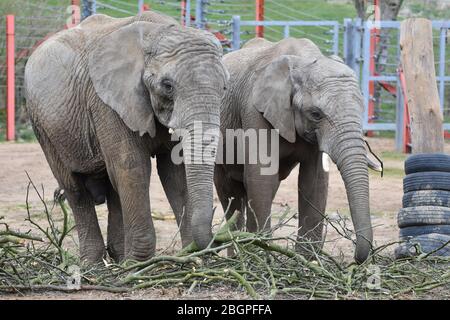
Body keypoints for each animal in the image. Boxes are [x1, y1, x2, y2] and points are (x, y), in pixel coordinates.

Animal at [22, 11, 227, 264]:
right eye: (167, 86)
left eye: (224, 88)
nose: (217, 240)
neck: (157, 32)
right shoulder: (106, 103)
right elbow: (132, 166)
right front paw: (139, 264)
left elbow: (174, 173)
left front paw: (192, 257)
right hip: (43, 125)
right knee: (74, 188)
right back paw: (95, 264)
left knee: (113, 188)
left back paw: (118, 259)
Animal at [214, 37, 380, 262]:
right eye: (316, 114)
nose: (356, 257)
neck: (304, 61)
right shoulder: (255, 110)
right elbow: (261, 177)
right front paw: (262, 254)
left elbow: (314, 182)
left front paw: (306, 260)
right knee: (229, 193)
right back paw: (238, 255)